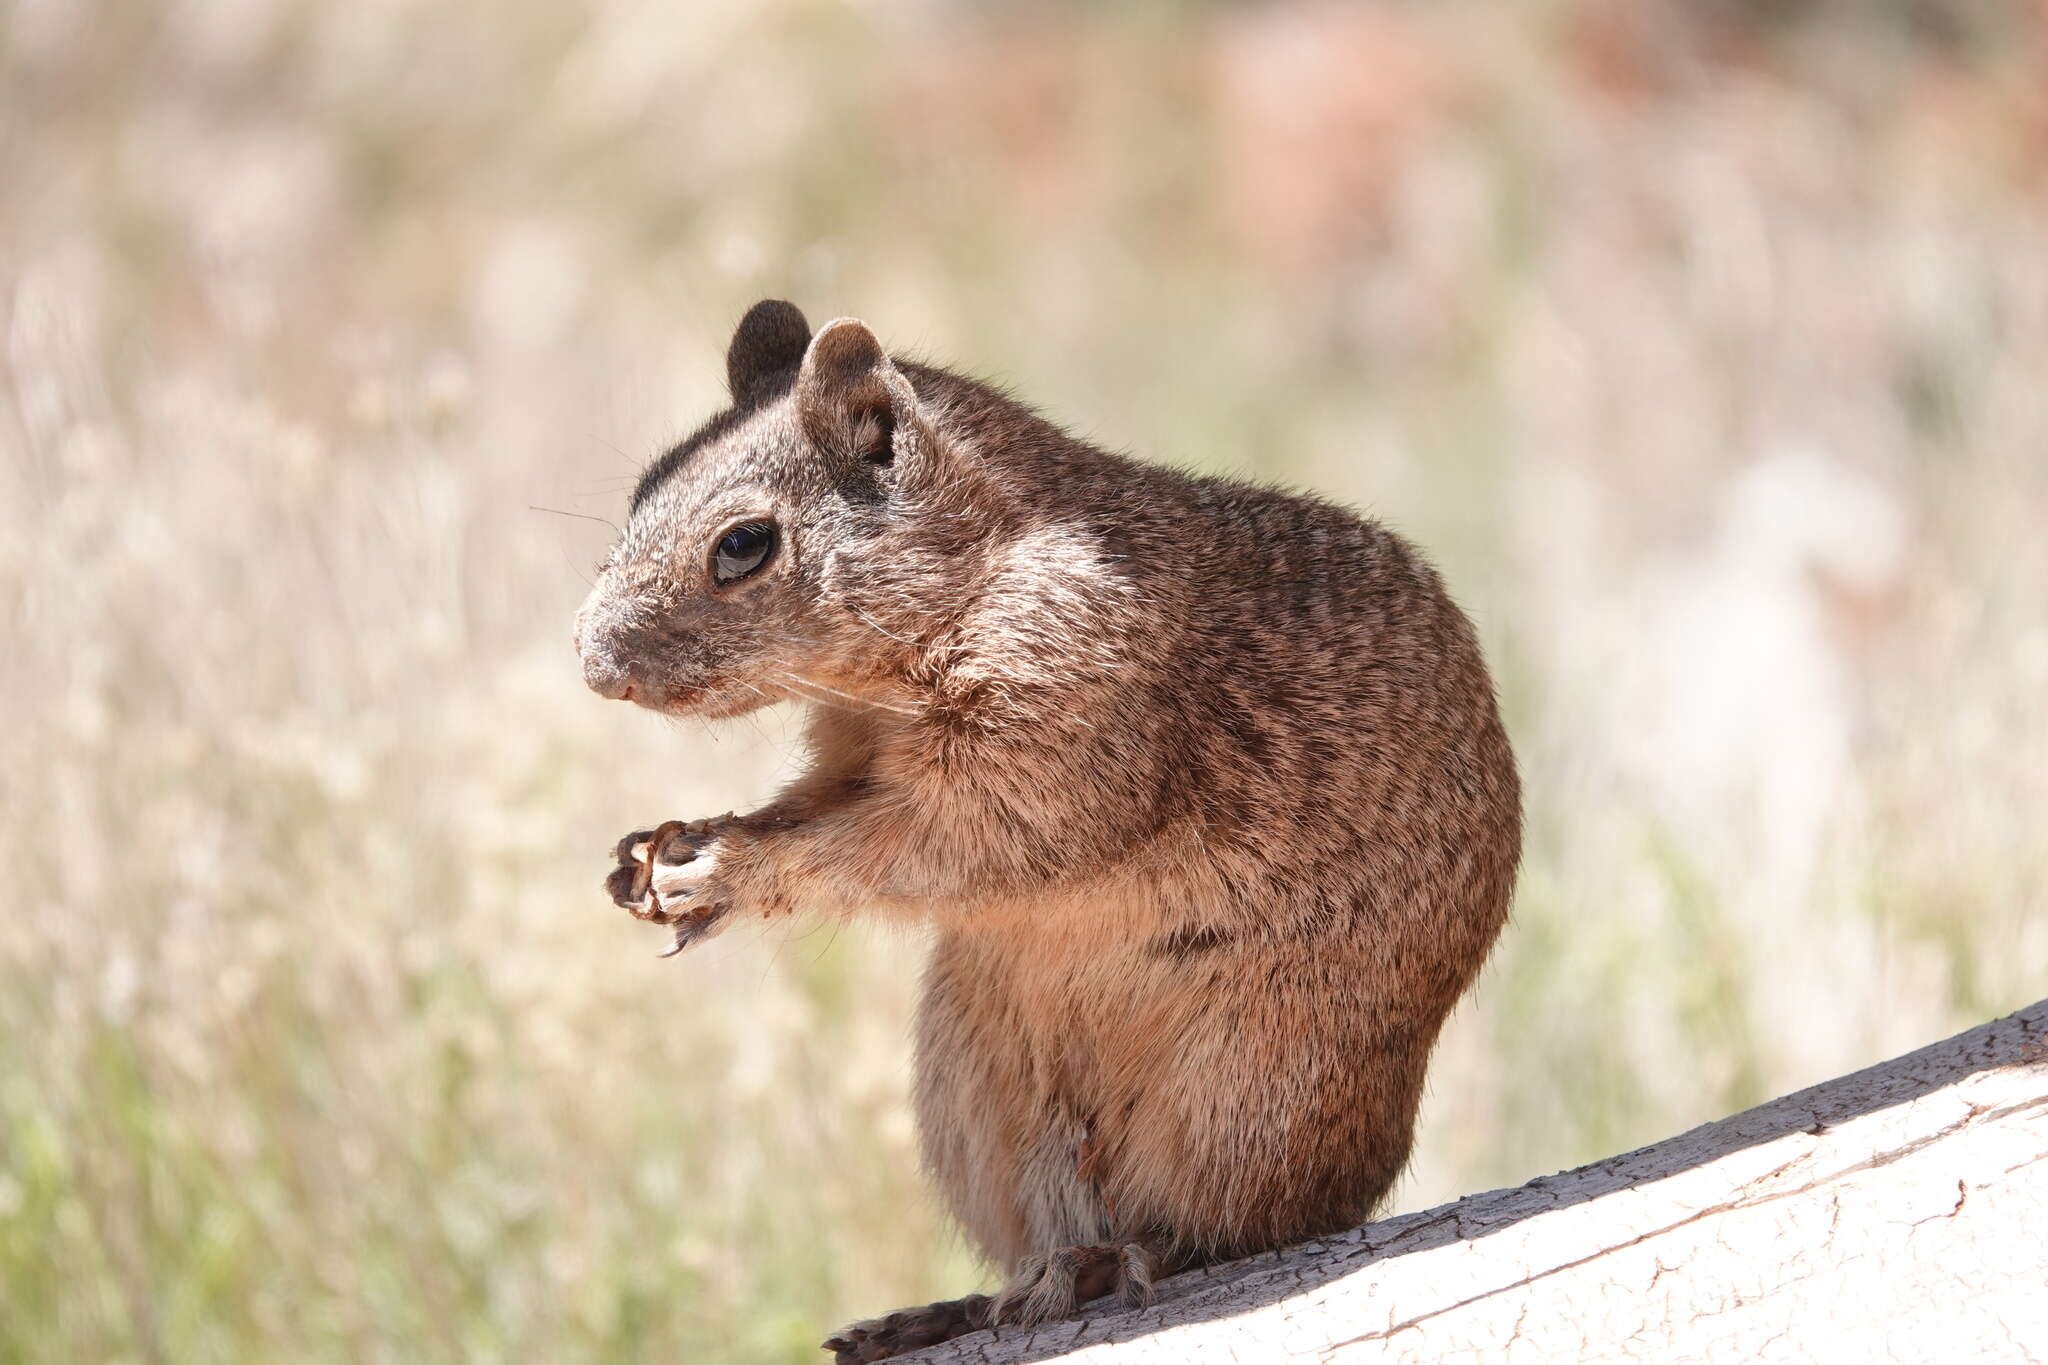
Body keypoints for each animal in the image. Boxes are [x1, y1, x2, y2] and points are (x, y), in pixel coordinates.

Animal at [577, 300, 1523, 1365]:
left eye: (743, 544)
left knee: (1244, 1228)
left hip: (1247, 1093)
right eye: (644, 487)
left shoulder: (1052, 738)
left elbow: (905, 847)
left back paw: (1124, 1258)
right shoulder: (852, 755)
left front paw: (723, 868)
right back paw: (955, 1305)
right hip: (985, 1109)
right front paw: (658, 850)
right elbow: (815, 802)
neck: (975, 575)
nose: (593, 662)